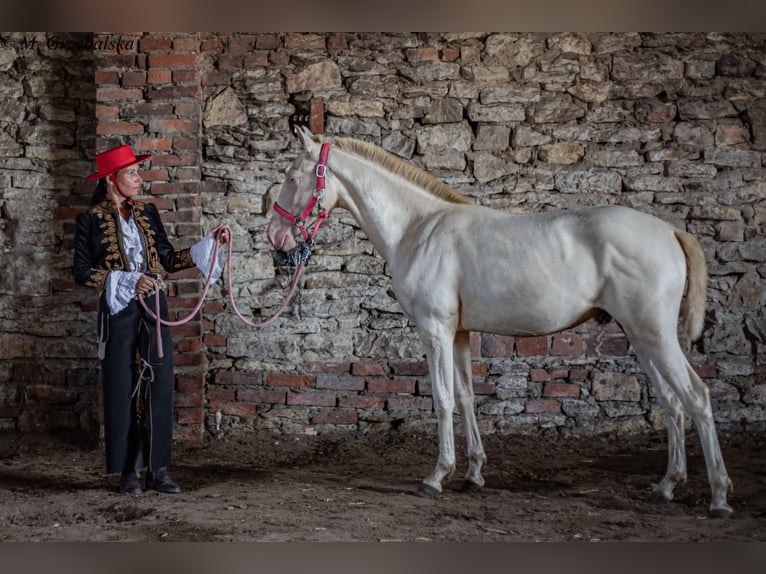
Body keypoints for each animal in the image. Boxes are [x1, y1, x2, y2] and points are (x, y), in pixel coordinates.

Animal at [266, 126, 733, 518]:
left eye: (291, 177)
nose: (276, 238)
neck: (418, 228)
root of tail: (670, 231)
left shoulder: (434, 331)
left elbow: (442, 400)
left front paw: (436, 476)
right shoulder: (458, 333)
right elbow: (467, 398)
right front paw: (473, 474)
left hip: (656, 336)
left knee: (696, 396)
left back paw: (719, 498)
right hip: (641, 337)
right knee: (671, 403)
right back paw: (666, 486)